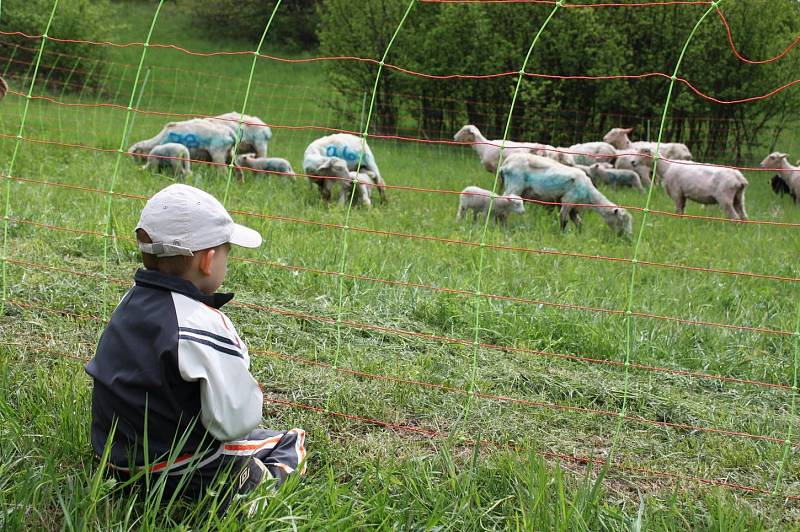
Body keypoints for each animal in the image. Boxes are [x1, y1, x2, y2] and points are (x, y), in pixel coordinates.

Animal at [496, 153, 636, 238]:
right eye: (622, 220)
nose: (628, 239)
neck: (589, 193)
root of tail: (506, 163)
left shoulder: (572, 206)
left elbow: (578, 222)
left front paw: (579, 236)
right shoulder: (569, 199)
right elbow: (563, 219)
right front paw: (562, 236)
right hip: (514, 185)